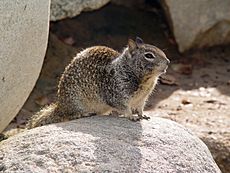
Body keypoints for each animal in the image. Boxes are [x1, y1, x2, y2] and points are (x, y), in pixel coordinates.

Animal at [27, 36, 169, 128]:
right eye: (149, 55)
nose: (168, 62)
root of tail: (60, 106)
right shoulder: (117, 95)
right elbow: (125, 109)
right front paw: (131, 116)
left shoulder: (142, 99)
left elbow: (140, 108)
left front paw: (142, 115)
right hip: (76, 102)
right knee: (70, 115)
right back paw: (84, 113)